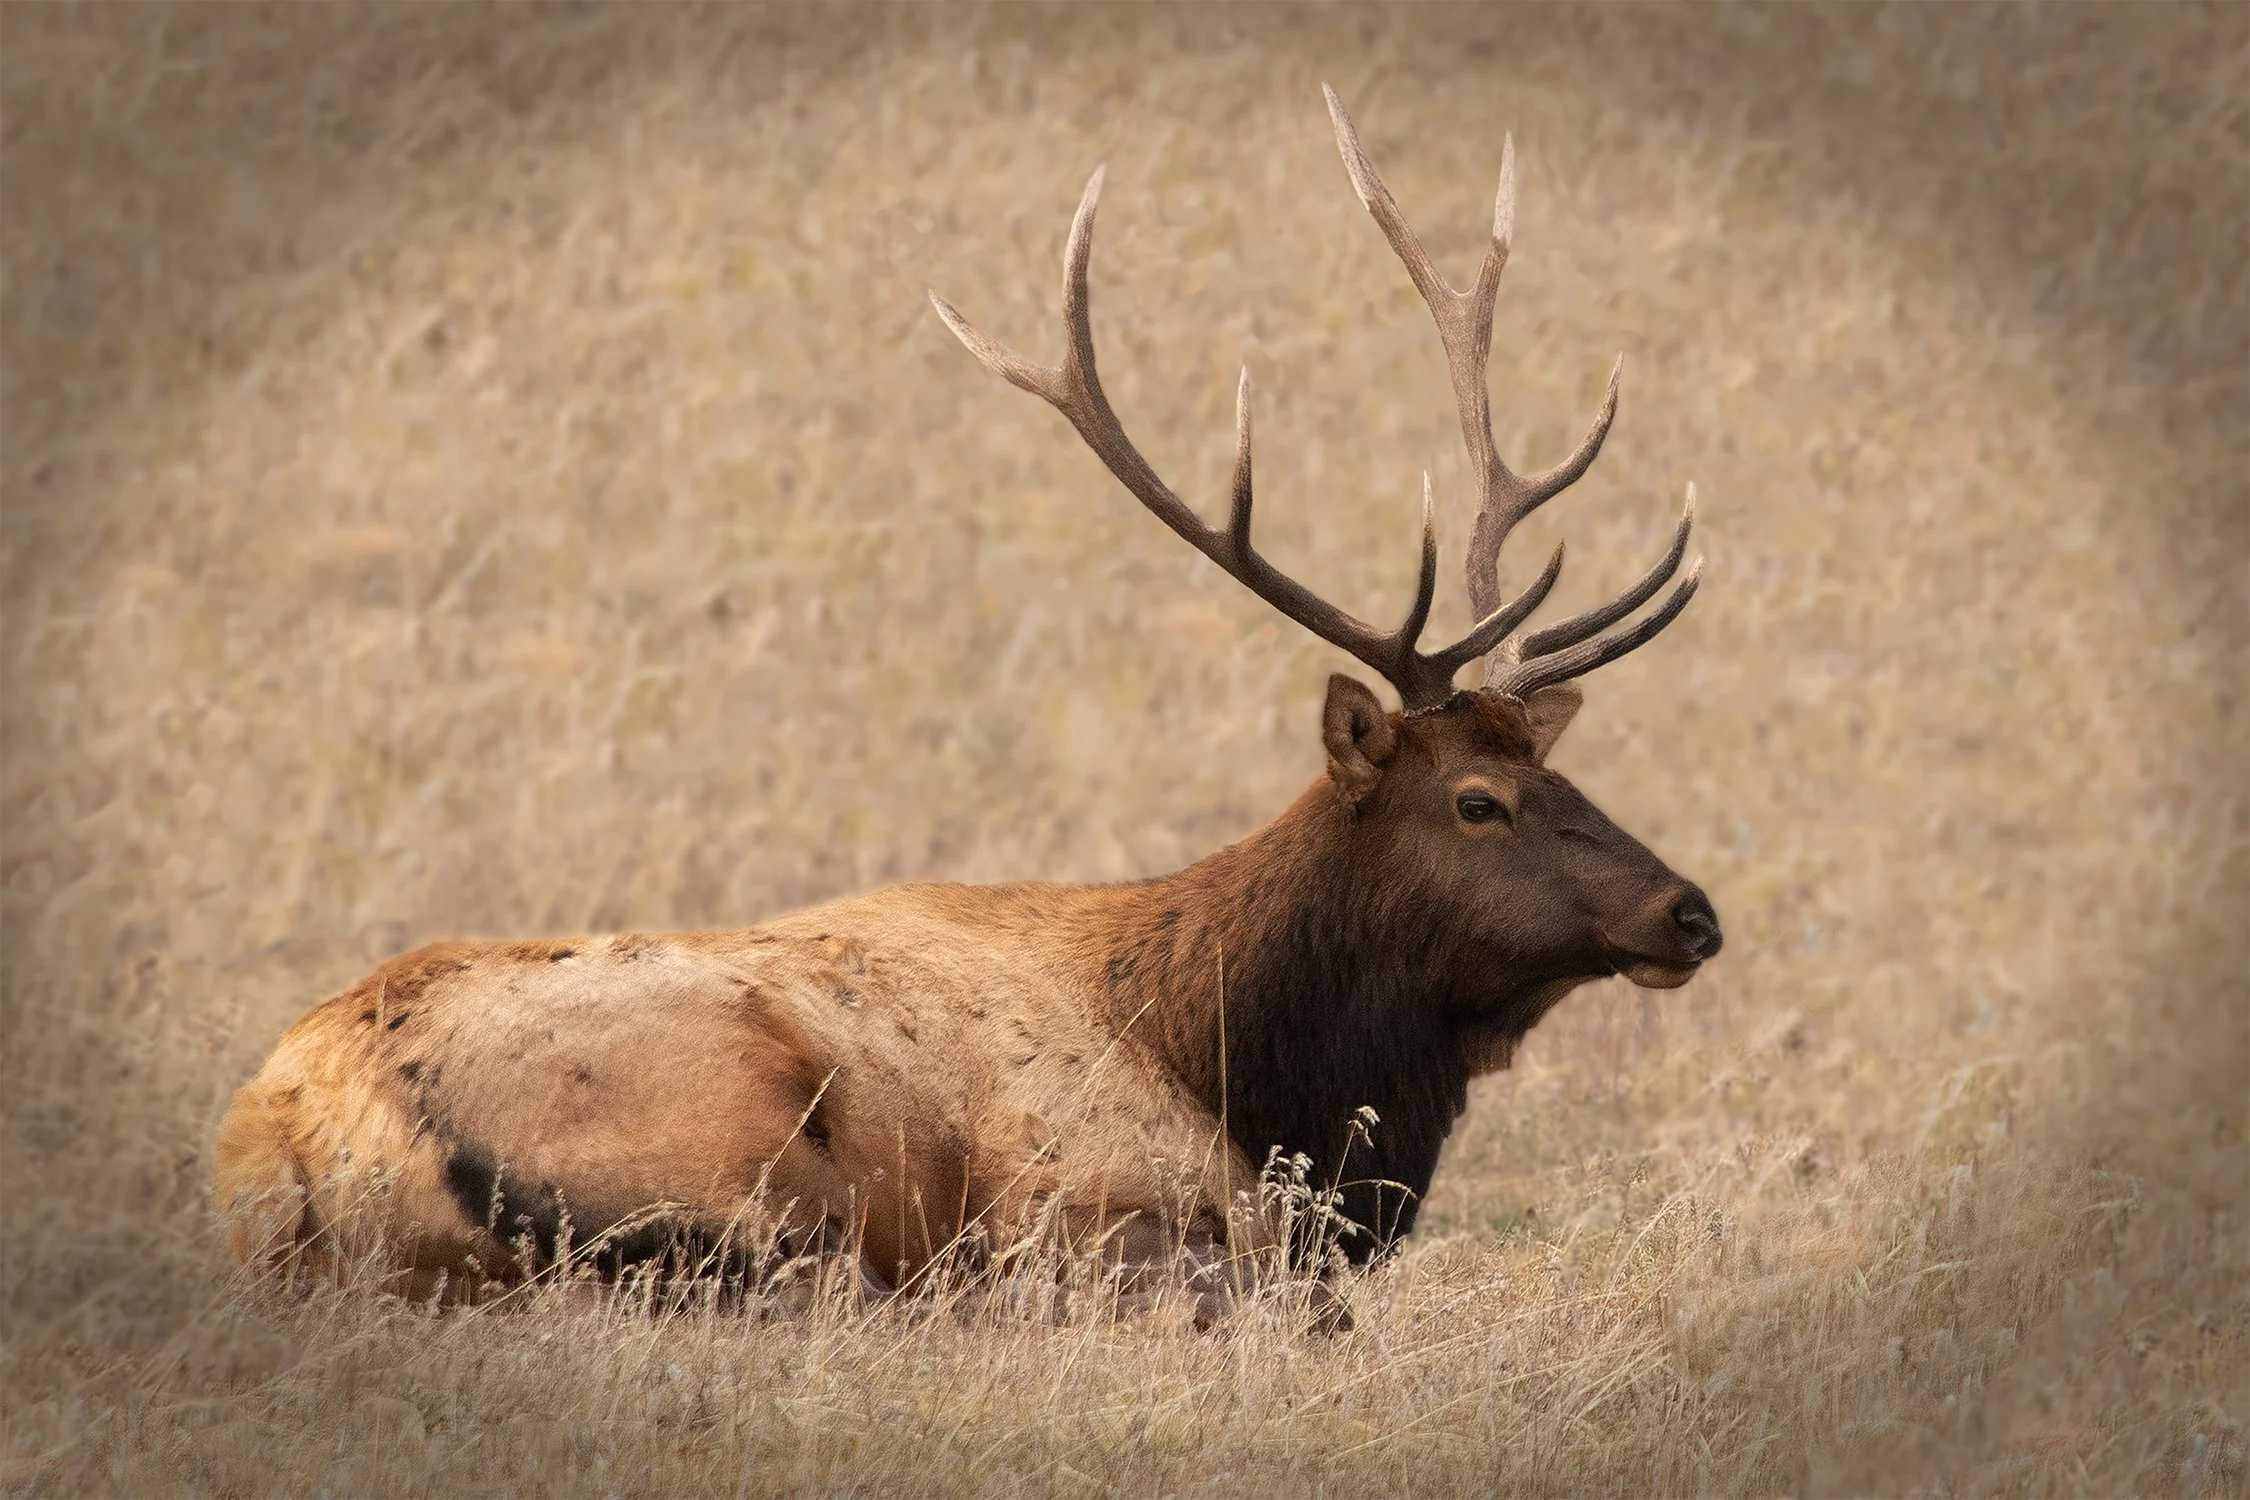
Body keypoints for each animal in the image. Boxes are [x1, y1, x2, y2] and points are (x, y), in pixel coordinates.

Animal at [211, 87, 1721, 1322]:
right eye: (1478, 801)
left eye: (1560, 769)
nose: (1689, 911)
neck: (1242, 1070)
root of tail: (304, 1127)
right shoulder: (1089, 1200)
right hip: (728, 1148)